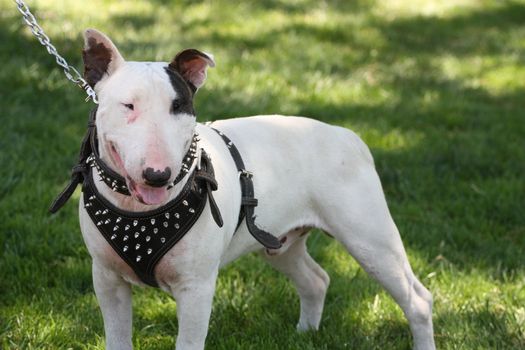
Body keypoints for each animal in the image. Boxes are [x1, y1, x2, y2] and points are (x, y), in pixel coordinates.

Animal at [68, 28, 434, 348]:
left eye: (179, 106)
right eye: (128, 106)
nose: (158, 175)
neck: (139, 212)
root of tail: (347, 135)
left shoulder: (196, 287)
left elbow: (188, 342)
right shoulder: (107, 280)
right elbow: (117, 339)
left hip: (370, 239)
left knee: (417, 299)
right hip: (280, 244)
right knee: (316, 280)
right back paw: (304, 334)